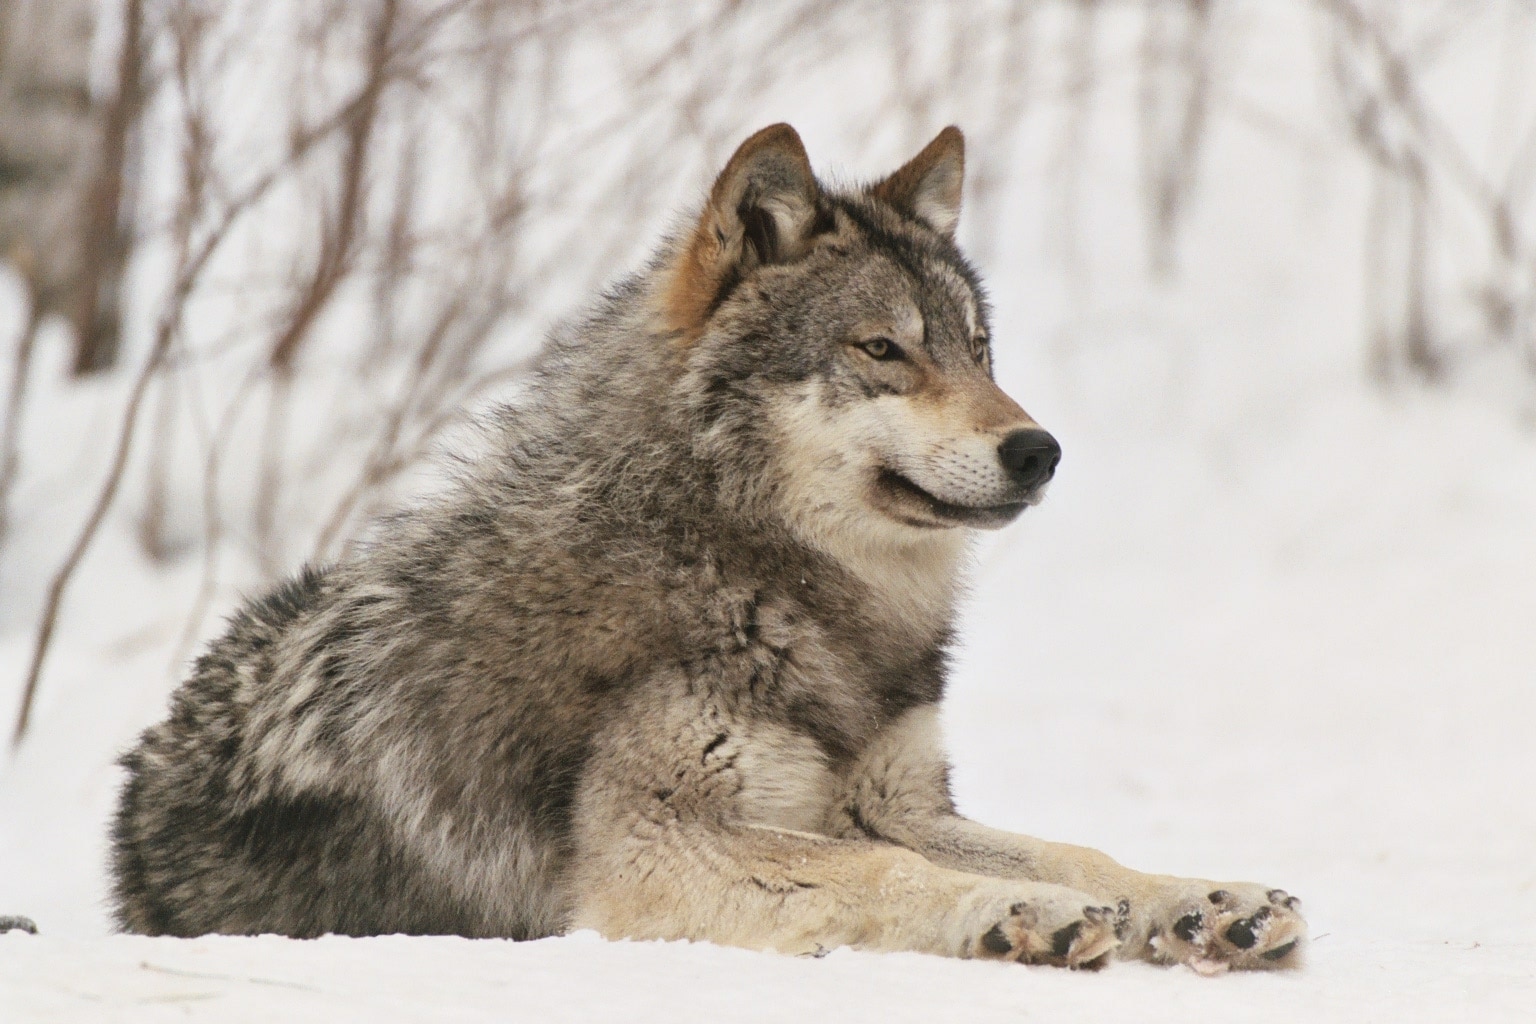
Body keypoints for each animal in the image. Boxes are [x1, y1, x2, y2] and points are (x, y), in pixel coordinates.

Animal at [111, 124, 1305, 971]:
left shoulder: (902, 801)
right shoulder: (656, 847)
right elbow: (878, 869)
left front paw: (1204, 899)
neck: (752, 569)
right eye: (882, 350)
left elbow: (1076, 847)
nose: (1039, 449)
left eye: (978, 351)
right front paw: (1026, 909)